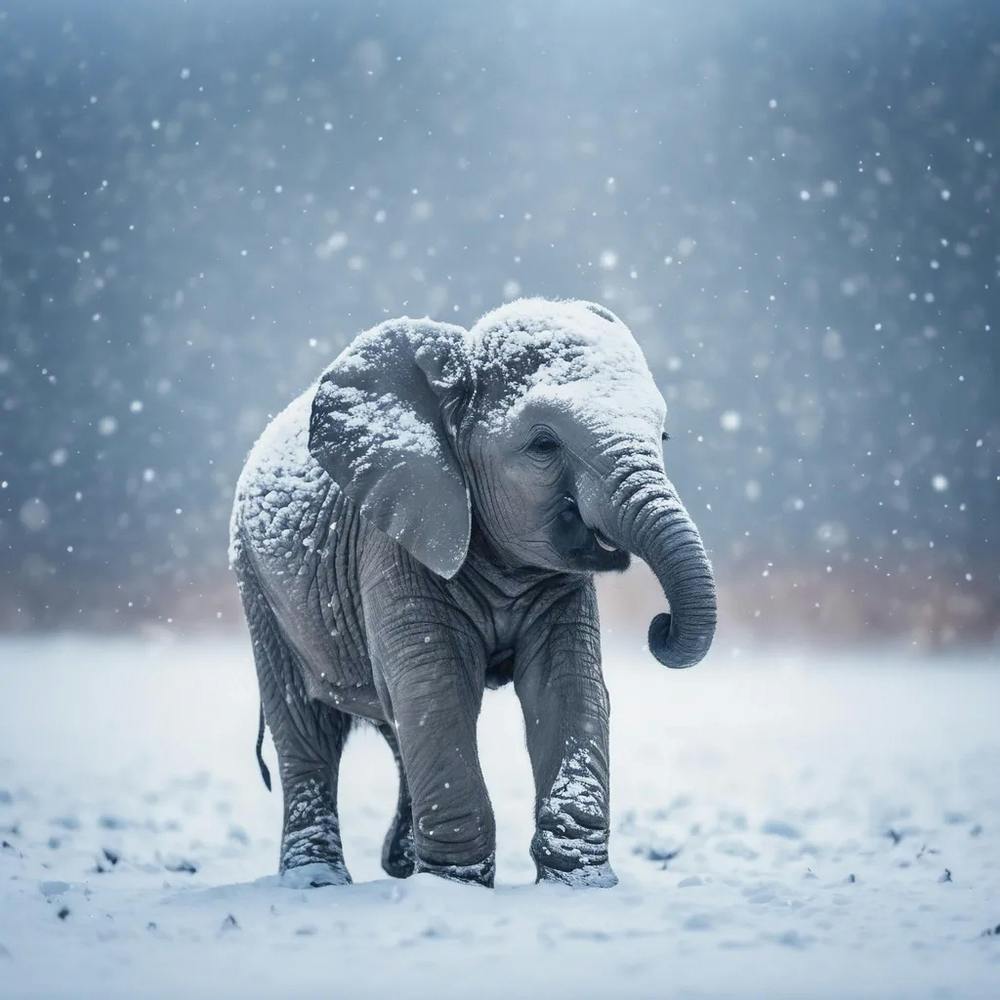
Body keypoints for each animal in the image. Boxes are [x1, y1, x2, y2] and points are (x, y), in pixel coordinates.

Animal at [229, 297, 716, 889]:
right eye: (544, 444)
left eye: (662, 438)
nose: (660, 626)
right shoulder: (398, 538)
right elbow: (436, 686)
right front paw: (454, 886)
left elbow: (567, 684)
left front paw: (580, 885)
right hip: (257, 584)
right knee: (306, 728)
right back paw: (317, 881)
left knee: (393, 720)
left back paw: (399, 866)